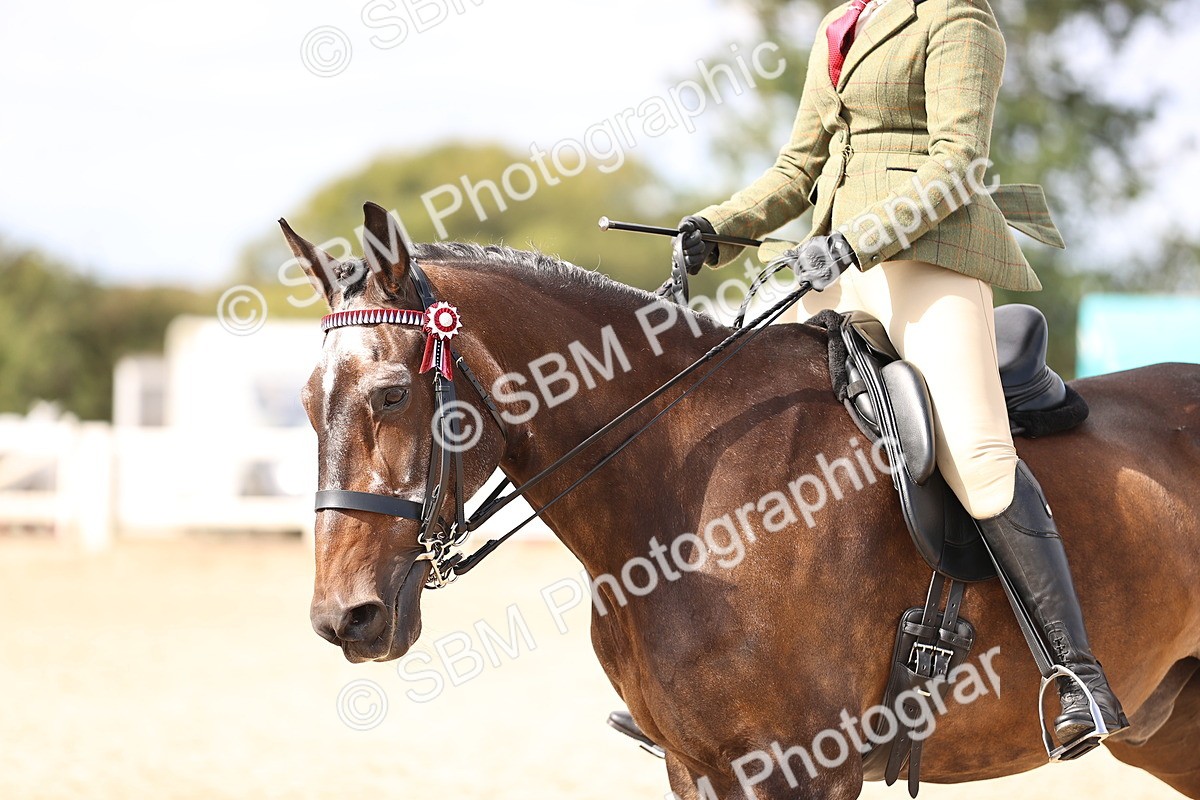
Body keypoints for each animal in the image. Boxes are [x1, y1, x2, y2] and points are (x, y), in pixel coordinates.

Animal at [285, 204, 1200, 799]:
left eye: (393, 394)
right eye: (303, 402)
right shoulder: (695, 766)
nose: (343, 618)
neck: (682, 500)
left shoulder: (802, 766)